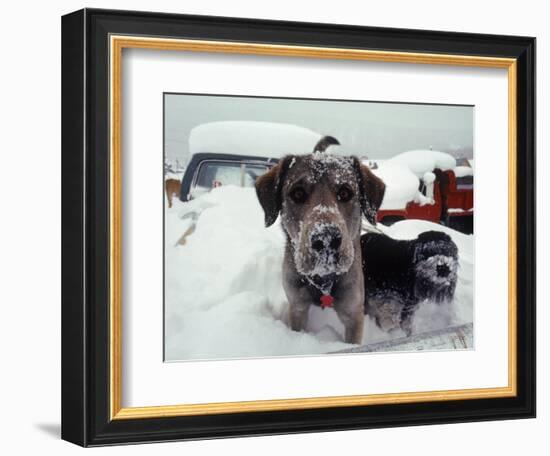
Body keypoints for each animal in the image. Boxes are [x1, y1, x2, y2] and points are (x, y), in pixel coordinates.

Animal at [256, 137, 386, 344]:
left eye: (345, 192)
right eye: (297, 193)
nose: (326, 239)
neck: (323, 279)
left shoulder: (353, 311)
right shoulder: (297, 305)